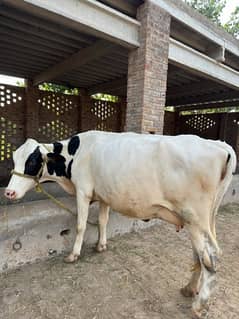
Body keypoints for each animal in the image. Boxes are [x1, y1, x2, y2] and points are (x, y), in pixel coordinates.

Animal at [4, 131, 236, 318]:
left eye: (32, 161)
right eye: (14, 159)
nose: (9, 192)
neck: (76, 152)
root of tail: (219, 145)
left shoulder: (83, 191)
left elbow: (80, 225)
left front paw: (73, 254)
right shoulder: (104, 194)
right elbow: (102, 220)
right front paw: (101, 245)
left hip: (194, 217)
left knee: (210, 257)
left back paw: (199, 305)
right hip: (202, 220)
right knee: (200, 254)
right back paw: (189, 289)